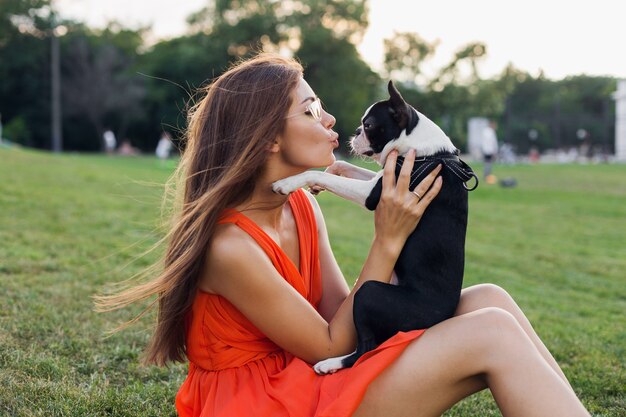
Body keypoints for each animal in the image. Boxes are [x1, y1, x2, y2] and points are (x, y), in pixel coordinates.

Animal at [270, 79, 476, 372]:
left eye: (368, 125)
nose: (356, 132)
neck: (422, 151)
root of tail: (441, 319)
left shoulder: (372, 193)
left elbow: (319, 173)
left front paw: (289, 182)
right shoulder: (380, 179)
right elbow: (342, 165)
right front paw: (324, 176)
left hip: (368, 294)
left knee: (364, 350)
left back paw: (330, 363)